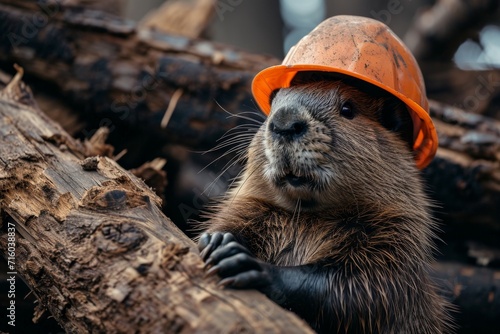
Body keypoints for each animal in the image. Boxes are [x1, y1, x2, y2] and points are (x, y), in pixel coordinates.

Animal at [196, 72, 454, 332]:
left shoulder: (395, 241)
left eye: (348, 108)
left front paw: (246, 263)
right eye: (274, 104)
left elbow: (363, 288)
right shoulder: (250, 206)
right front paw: (218, 240)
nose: (284, 122)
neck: (306, 217)